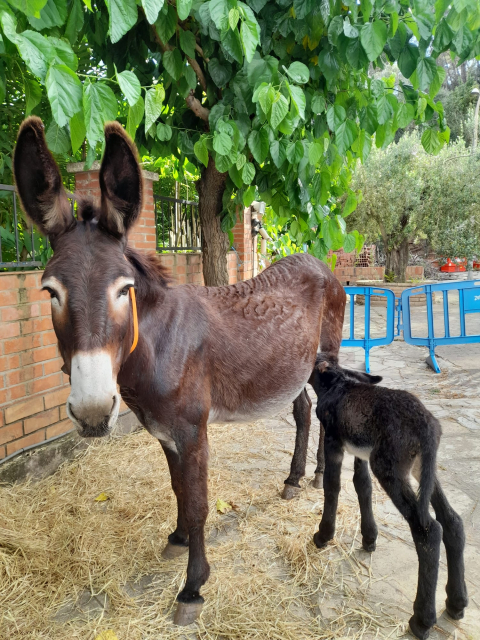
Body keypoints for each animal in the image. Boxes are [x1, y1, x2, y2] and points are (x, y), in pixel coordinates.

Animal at [13, 119, 346, 624]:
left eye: (124, 290)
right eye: (51, 292)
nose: (92, 414)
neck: (155, 345)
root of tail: (315, 259)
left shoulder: (192, 431)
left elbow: (199, 503)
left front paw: (193, 587)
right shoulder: (164, 430)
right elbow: (178, 492)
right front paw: (177, 539)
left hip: (328, 355)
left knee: (324, 407)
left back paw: (318, 477)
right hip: (297, 367)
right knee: (305, 409)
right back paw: (295, 479)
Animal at [310, 356, 466, 640]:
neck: (337, 385)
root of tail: (427, 426)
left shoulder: (333, 442)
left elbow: (332, 486)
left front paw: (323, 535)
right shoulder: (360, 451)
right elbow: (362, 486)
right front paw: (369, 538)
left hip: (388, 469)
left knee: (428, 531)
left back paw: (422, 620)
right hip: (421, 469)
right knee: (451, 520)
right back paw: (456, 603)